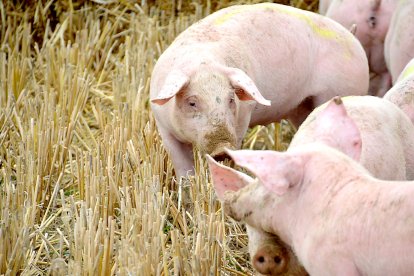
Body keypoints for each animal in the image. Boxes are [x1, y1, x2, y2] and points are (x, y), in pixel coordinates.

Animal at [150, 2, 368, 177]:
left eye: (231, 100)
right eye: (192, 102)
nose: (222, 147)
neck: (203, 63)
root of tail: (353, 38)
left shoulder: (242, 118)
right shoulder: (164, 128)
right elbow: (184, 171)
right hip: (301, 108)